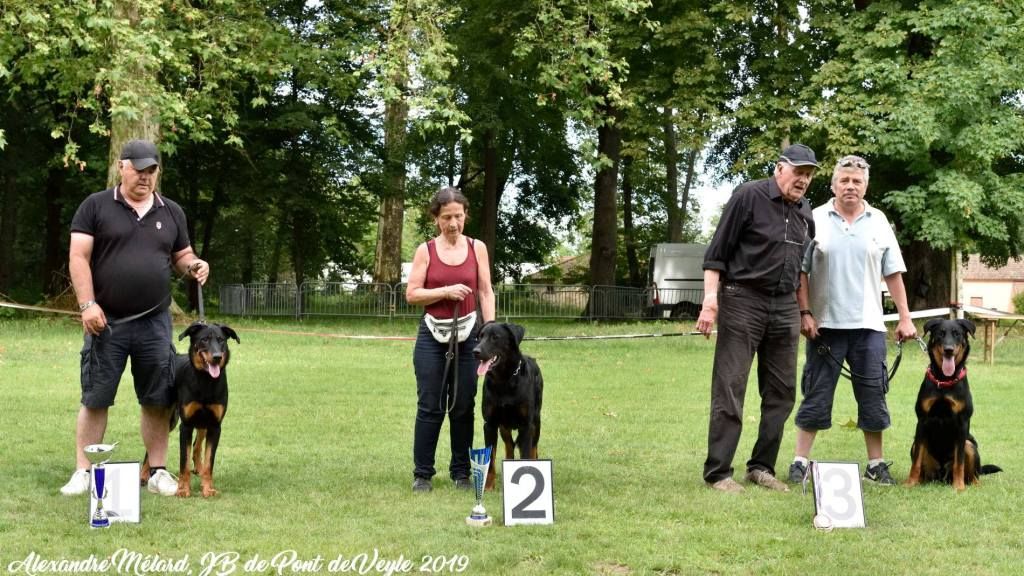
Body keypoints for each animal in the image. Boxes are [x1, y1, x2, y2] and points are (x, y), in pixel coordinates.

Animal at [175, 319, 240, 496]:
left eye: (221, 340)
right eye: (204, 340)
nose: (217, 357)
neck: (206, 381)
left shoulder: (215, 426)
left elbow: (209, 462)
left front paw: (208, 488)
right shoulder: (186, 425)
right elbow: (183, 462)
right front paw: (183, 489)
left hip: (203, 424)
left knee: (197, 447)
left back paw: (198, 468)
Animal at [471, 317, 544, 487]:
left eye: (495, 337)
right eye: (480, 337)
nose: (475, 352)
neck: (504, 380)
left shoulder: (526, 425)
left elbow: (526, 454)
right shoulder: (490, 424)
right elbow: (490, 458)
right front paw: (488, 486)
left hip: (536, 422)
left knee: (533, 448)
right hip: (504, 427)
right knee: (509, 447)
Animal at [909, 317, 995, 487]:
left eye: (957, 334)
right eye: (940, 334)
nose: (948, 349)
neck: (945, 380)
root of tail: (942, 476)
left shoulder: (962, 423)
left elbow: (959, 462)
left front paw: (959, 487)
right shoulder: (922, 421)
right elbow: (916, 461)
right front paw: (909, 483)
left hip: (970, 445)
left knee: (974, 475)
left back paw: (972, 485)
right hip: (916, 446)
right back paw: (919, 481)